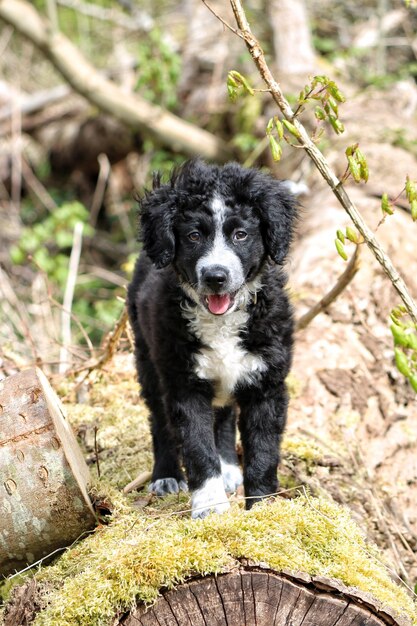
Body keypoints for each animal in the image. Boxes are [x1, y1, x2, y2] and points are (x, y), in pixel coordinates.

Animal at [127, 160, 296, 516]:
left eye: (240, 234)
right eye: (193, 236)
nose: (216, 276)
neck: (221, 323)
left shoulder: (267, 382)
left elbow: (263, 451)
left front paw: (262, 508)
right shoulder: (183, 382)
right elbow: (197, 447)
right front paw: (210, 505)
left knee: (225, 414)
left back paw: (229, 467)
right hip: (147, 356)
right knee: (159, 419)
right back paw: (166, 475)